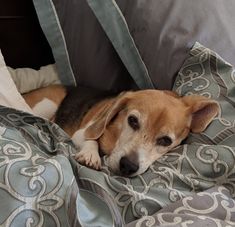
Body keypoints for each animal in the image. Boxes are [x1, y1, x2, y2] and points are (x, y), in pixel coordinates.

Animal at [23, 85, 219, 177]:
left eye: (165, 141)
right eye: (132, 120)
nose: (128, 166)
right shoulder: (83, 131)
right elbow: (91, 139)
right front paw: (90, 155)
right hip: (47, 104)